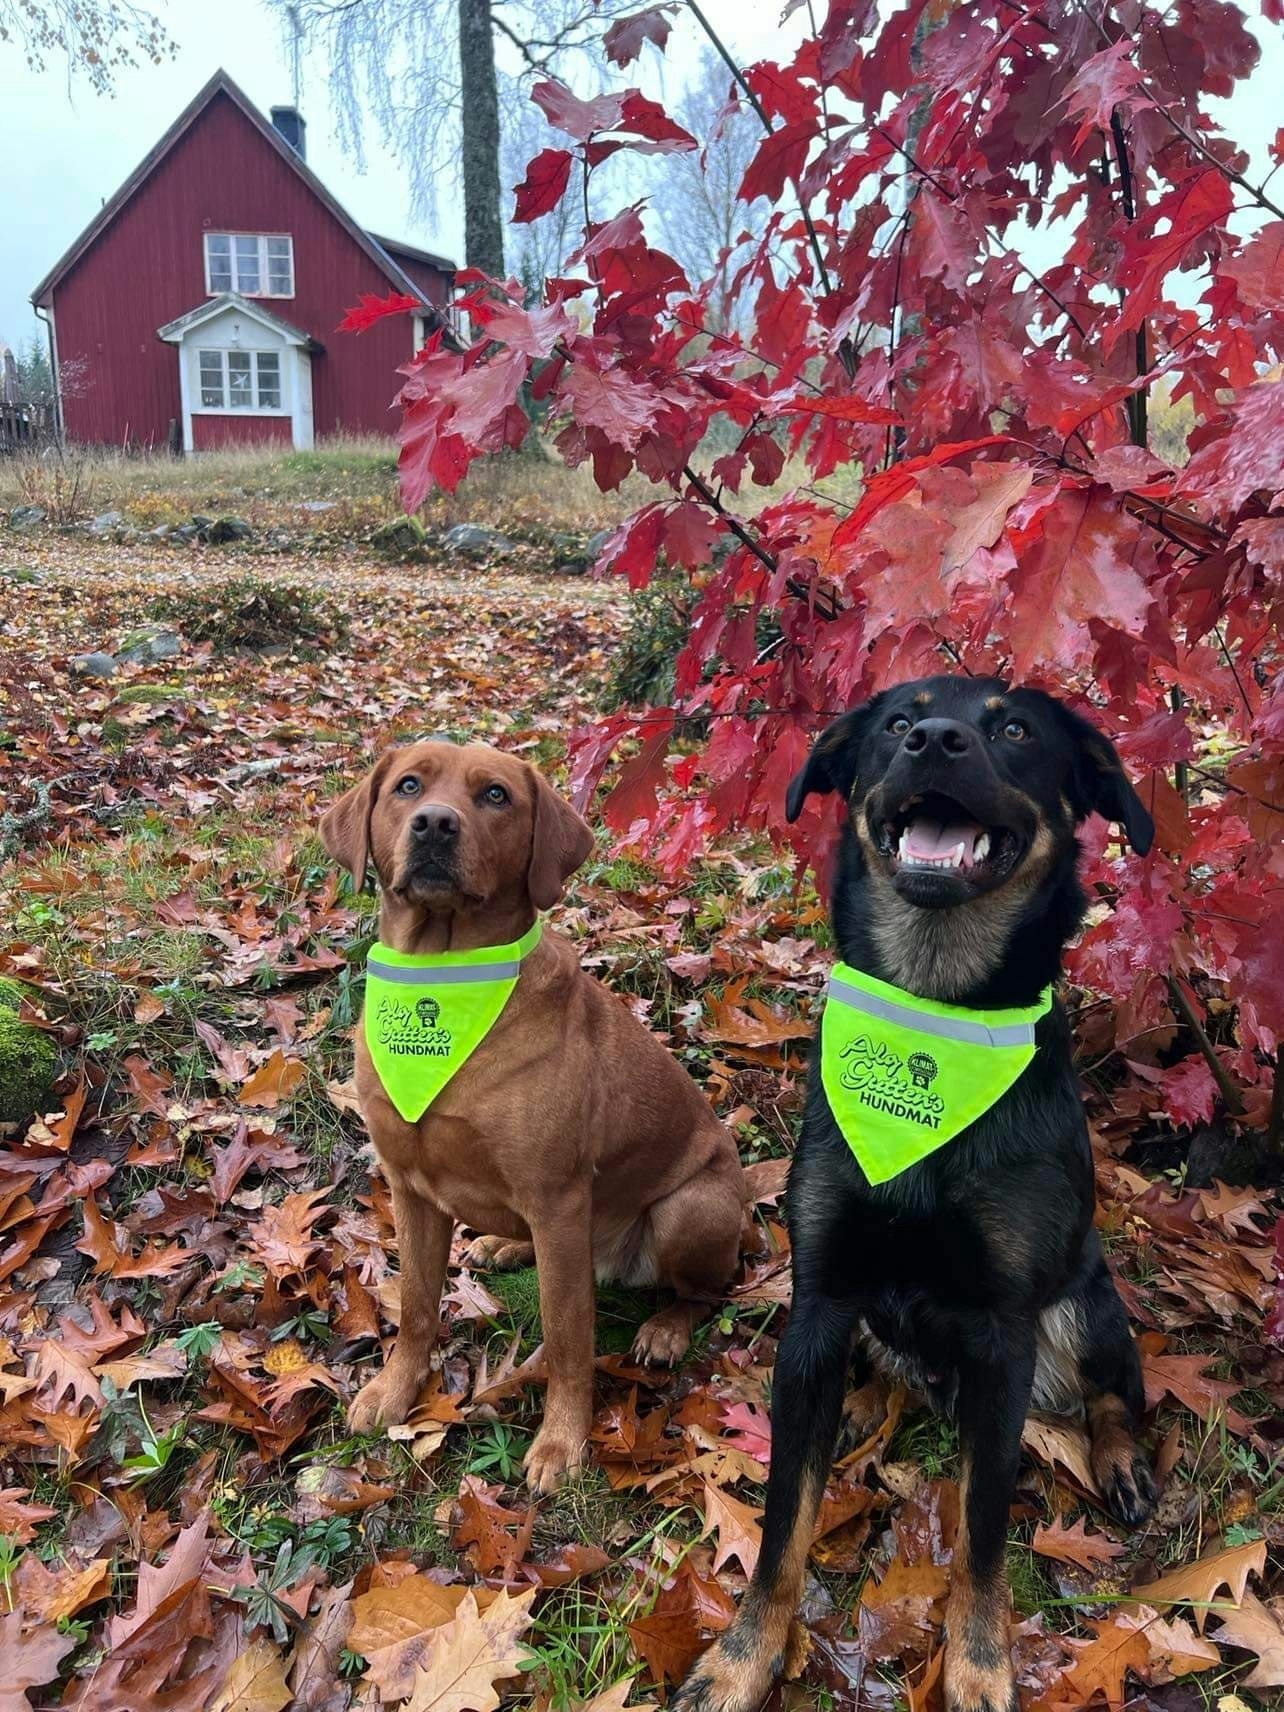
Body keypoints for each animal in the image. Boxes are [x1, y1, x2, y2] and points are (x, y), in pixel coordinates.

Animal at [320, 743, 743, 1492]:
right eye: (408, 786)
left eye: (495, 796)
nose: (435, 824)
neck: (447, 979)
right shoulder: (408, 1187)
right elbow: (418, 1306)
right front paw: (395, 1390)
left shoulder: (557, 1197)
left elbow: (568, 1336)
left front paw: (561, 1442)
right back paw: (500, 1244)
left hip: (687, 1209)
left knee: (705, 1293)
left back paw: (665, 1327)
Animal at [677, 677, 1164, 1712]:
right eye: (899, 721)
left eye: (1016, 729)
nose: (935, 742)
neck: (934, 1013)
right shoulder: (820, 1296)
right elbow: (782, 1522)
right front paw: (744, 1656)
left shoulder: (1003, 1333)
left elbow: (982, 1529)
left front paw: (979, 1663)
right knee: (876, 1366)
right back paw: (866, 1401)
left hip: (1087, 1304)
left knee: (1116, 1391)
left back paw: (1121, 1459)